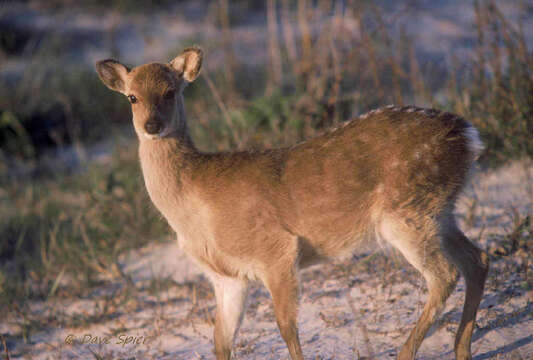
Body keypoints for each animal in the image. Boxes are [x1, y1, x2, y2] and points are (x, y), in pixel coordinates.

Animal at [95, 47, 486, 360]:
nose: (152, 125)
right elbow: (221, 340)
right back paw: (462, 350)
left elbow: (286, 327)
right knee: (476, 260)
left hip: (406, 210)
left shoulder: (276, 249)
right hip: (438, 211)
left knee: (444, 276)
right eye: (132, 97)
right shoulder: (227, 277)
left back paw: (408, 352)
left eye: (170, 91)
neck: (193, 205)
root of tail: (467, 135)